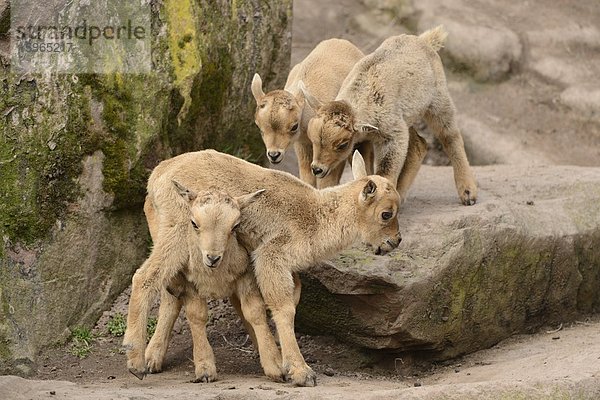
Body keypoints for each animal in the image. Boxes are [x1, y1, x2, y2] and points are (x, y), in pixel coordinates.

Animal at [122, 183, 284, 382]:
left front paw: (275, 364)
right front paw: (205, 367)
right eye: (194, 223)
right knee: (156, 289)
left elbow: (254, 312)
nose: (213, 258)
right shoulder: (190, 282)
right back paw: (140, 359)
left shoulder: (245, 276)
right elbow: (196, 315)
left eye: (235, 226)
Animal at [304, 25, 478, 206]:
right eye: (312, 137)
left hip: (438, 102)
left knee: (450, 136)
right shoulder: (362, 141)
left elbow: (385, 169)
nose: (317, 169)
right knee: (420, 144)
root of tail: (425, 40)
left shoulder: (393, 136)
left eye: (342, 144)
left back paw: (468, 193)